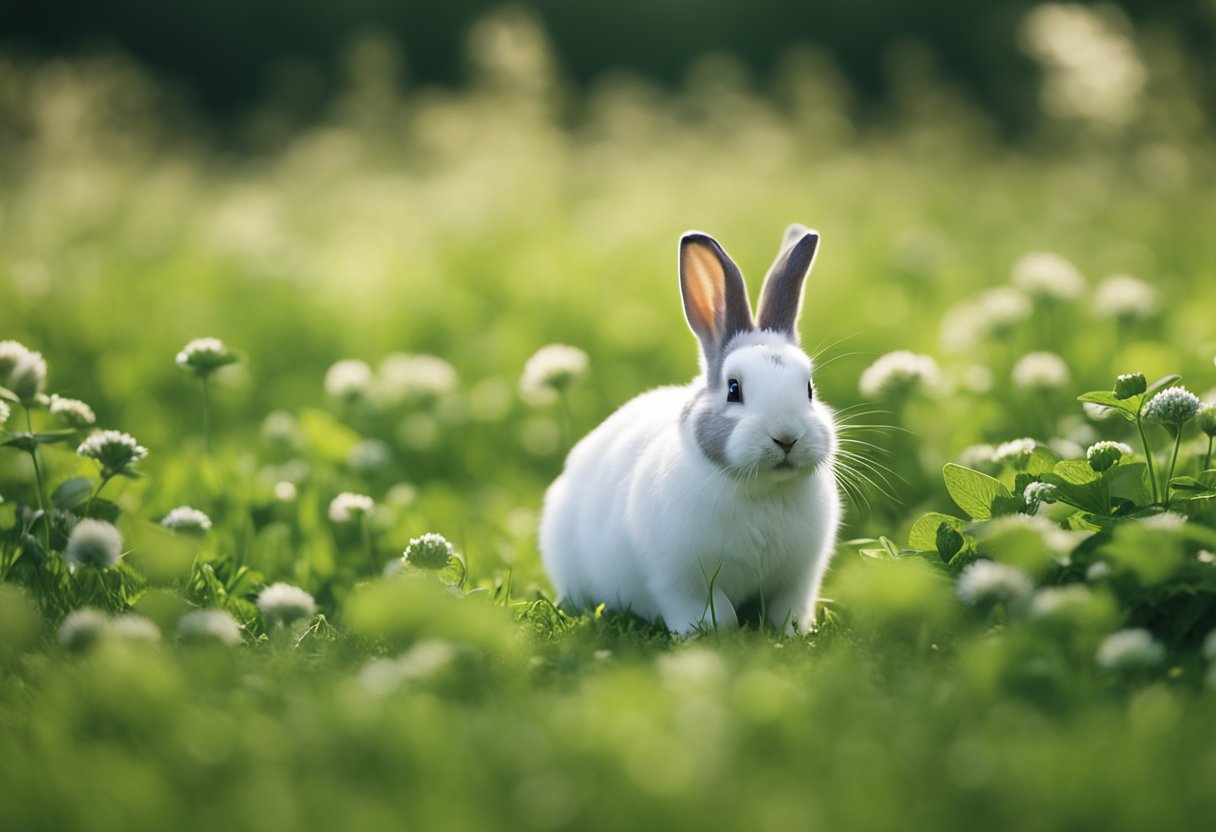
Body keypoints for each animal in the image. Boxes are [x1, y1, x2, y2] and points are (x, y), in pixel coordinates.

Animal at [537, 223, 841, 632]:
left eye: (808, 389)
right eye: (733, 389)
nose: (787, 438)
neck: (763, 490)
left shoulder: (798, 578)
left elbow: (787, 609)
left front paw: (793, 631)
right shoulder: (682, 581)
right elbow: (712, 611)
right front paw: (710, 633)